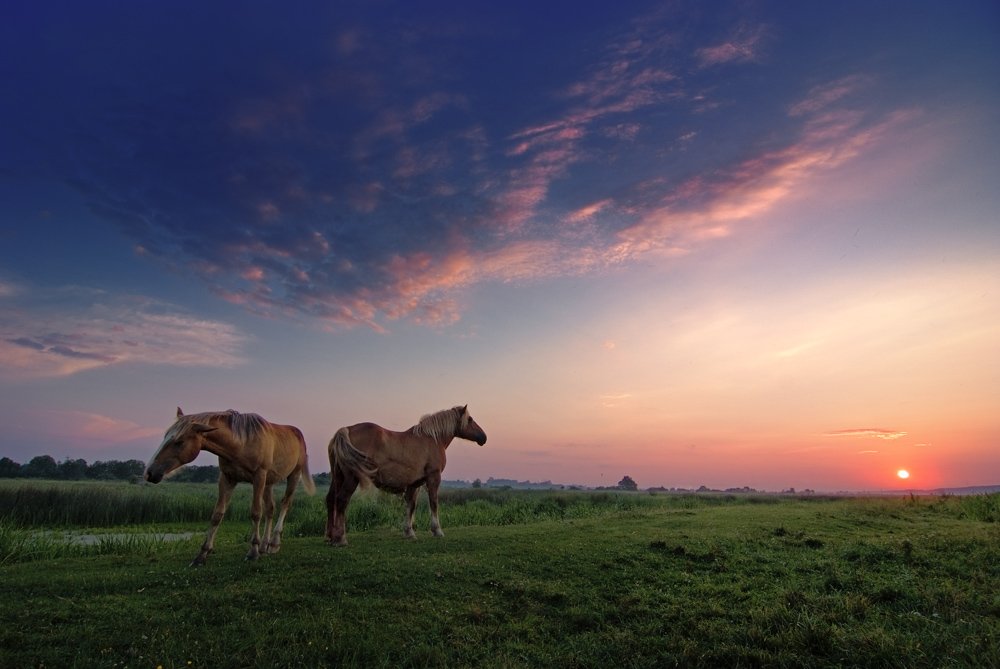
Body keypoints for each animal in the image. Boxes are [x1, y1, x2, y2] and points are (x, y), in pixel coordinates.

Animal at [145, 408, 314, 564]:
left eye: (179, 442)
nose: (149, 473)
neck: (241, 443)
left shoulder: (259, 477)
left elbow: (255, 512)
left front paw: (253, 552)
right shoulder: (227, 479)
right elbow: (217, 515)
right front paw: (202, 554)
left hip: (293, 475)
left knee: (285, 504)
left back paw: (273, 544)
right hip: (269, 482)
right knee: (270, 509)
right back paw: (264, 546)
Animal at [326, 404, 486, 544]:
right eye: (470, 419)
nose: (483, 437)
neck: (432, 439)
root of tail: (346, 430)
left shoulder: (414, 483)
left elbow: (411, 505)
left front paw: (409, 532)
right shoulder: (433, 478)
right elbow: (433, 503)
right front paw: (437, 530)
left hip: (337, 477)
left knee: (331, 500)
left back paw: (330, 537)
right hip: (351, 479)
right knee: (341, 500)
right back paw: (340, 539)